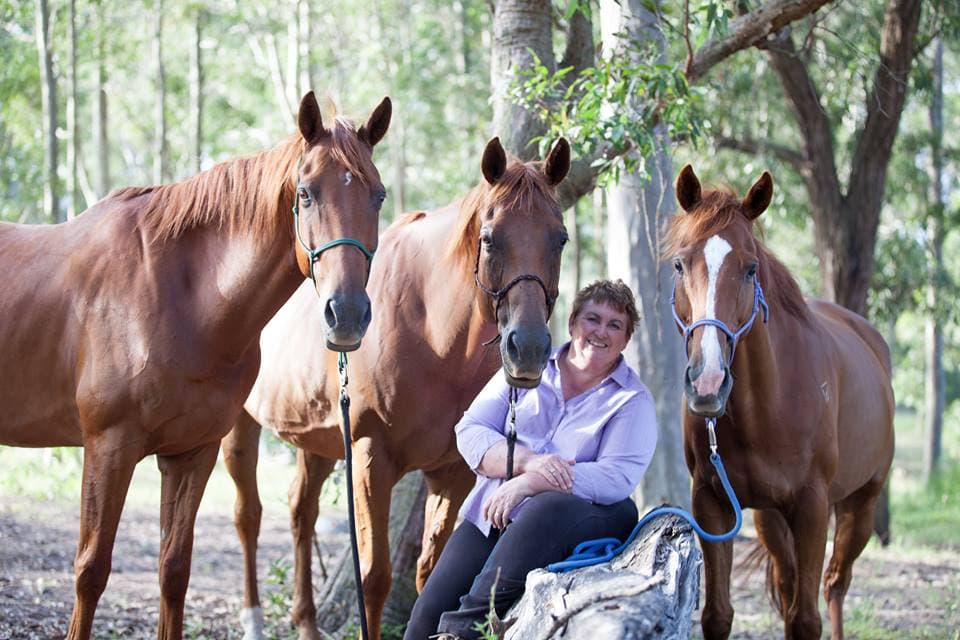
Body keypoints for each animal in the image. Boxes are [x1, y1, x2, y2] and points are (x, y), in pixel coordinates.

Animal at [0, 91, 391, 640]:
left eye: (378, 196)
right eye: (306, 193)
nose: (348, 314)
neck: (178, 299)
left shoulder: (192, 453)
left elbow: (174, 570)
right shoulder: (108, 447)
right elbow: (91, 570)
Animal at [221, 136, 571, 640]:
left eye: (559, 238)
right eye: (489, 238)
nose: (527, 348)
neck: (434, 336)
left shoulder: (452, 472)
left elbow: (429, 573)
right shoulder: (372, 457)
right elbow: (374, 577)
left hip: (319, 440)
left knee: (301, 510)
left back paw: (306, 622)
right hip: (241, 428)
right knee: (248, 515)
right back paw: (254, 620)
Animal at [664, 165, 895, 639]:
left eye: (751, 268)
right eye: (680, 264)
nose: (709, 382)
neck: (767, 408)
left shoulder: (812, 508)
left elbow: (806, 620)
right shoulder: (712, 503)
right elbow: (718, 615)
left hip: (860, 506)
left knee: (834, 584)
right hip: (768, 518)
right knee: (790, 586)